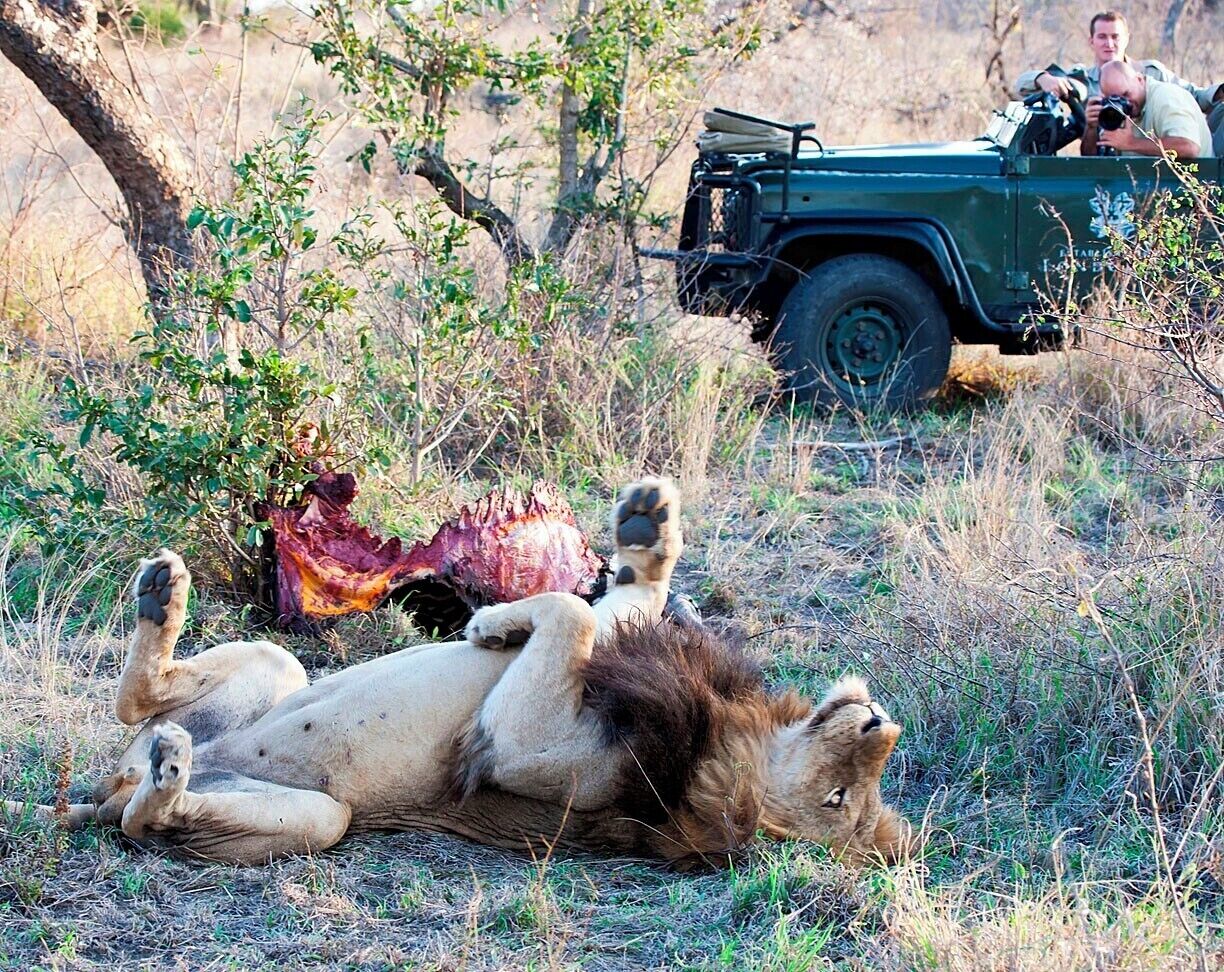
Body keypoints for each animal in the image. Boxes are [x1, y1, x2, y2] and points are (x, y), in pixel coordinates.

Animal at [5, 478, 910, 866]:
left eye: (841, 800)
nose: (880, 722)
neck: (716, 742)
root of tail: (106, 788)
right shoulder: (635, 654)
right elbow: (618, 600)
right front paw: (646, 523)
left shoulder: (532, 753)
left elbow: (575, 612)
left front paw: (488, 619)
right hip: (275, 661)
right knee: (142, 700)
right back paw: (161, 597)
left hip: (320, 819)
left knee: (143, 823)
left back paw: (170, 775)